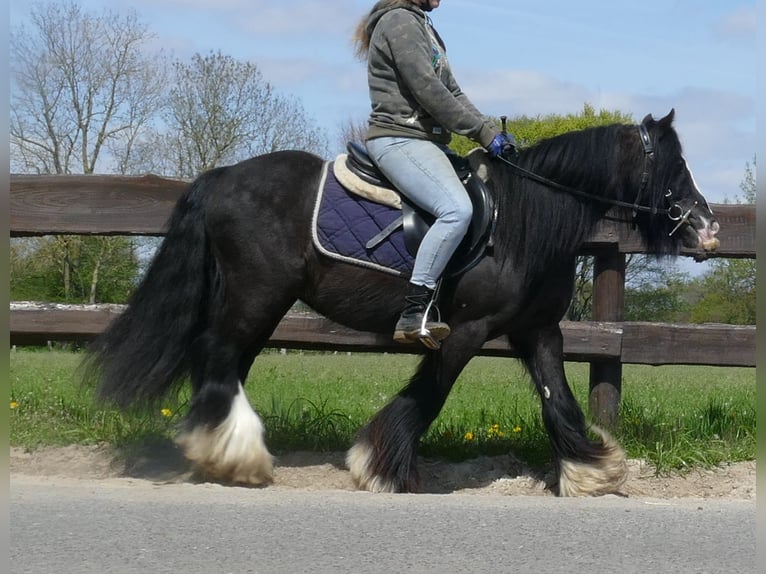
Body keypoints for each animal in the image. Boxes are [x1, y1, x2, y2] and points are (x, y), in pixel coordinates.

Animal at [87, 110, 724, 498]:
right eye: (672, 167)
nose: (708, 229)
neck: (523, 220)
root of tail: (220, 178)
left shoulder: (539, 331)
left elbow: (558, 402)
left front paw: (593, 470)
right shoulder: (467, 330)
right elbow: (429, 394)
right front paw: (379, 465)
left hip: (256, 302)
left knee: (222, 362)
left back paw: (216, 448)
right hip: (258, 297)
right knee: (219, 358)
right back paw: (237, 454)